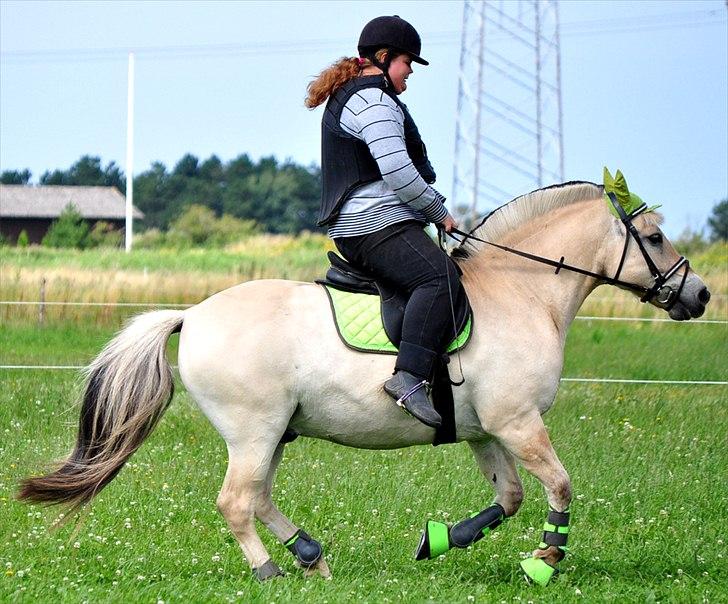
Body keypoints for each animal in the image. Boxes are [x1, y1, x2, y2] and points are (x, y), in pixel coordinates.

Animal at [18, 180, 712, 584]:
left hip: (275, 433)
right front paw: (545, 563)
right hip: (255, 430)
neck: (523, 292)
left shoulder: (487, 431)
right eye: (653, 237)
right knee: (237, 501)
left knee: (258, 498)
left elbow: (510, 498)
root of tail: (192, 314)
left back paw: (310, 556)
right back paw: (272, 573)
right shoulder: (518, 423)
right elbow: (560, 486)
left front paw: (441, 541)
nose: (700, 296)